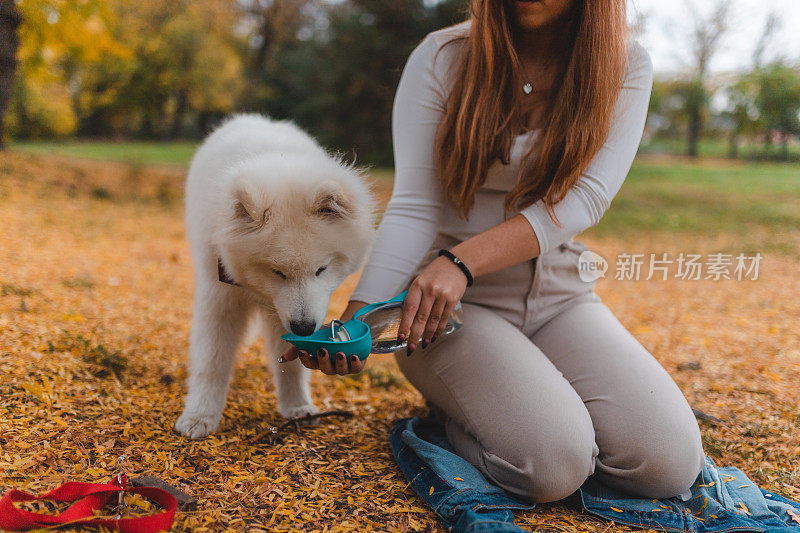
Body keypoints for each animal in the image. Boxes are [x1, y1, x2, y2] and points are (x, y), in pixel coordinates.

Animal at [177, 112, 376, 436]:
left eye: (321, 270)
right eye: (277, 272)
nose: (305, 328)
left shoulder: (283, 313)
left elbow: (291, 363)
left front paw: (298, 408)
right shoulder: (220, 296)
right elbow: (212, 360)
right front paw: (199, 416)